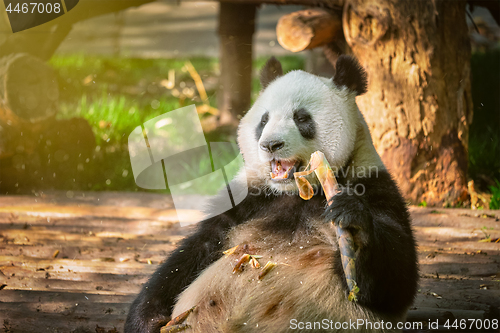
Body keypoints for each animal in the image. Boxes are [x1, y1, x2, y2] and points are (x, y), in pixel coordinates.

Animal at [125, 55, 418, 330]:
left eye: (301, 118)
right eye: (263, 120)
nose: (270, 145)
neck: (297, 192)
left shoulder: (373, 185)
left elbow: (395, 282)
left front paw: (352, 225)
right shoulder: (249, 198)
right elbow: (195, 251)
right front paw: (146, 319)